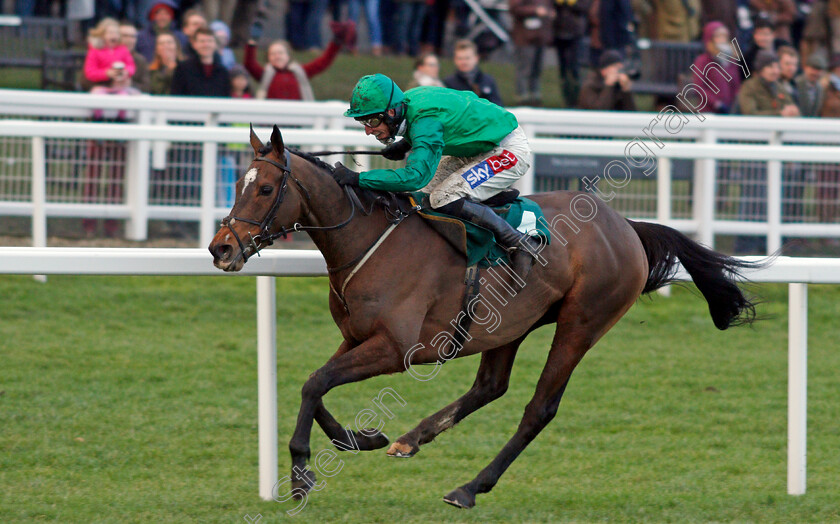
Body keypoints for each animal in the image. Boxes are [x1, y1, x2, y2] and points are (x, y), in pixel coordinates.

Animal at [208, 126, 756, 508]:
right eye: (236, 183)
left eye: (265, 189)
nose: (221, 248)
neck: (369, 240)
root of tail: (624, 225)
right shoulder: (357, 337)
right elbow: (315, 383)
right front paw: (361, 437)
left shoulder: (397, 348)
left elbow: (316, 382)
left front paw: (302, 474)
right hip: (508, 323)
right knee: (489, 387)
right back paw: (409, 441)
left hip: (582, 323)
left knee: (538, 409)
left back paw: (469, 487)